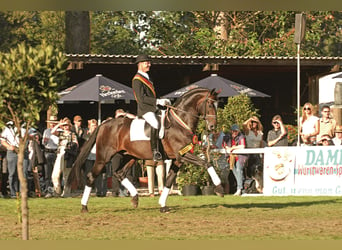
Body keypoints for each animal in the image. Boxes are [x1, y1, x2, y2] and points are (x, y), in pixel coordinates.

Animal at [68, 88, 226, 213]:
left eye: (218, 104)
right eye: (210, 104)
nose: (212, 127)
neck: (180, 122)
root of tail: (104, 124)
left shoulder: (178, 159)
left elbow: (169, 181)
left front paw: (162, 205)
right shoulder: (184, 154)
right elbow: (207, 163)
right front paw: (219, 189)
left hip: (131, 156)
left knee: (119, 173)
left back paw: (135, 198)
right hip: (103, 158)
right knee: (91, 177)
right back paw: (84, 207)